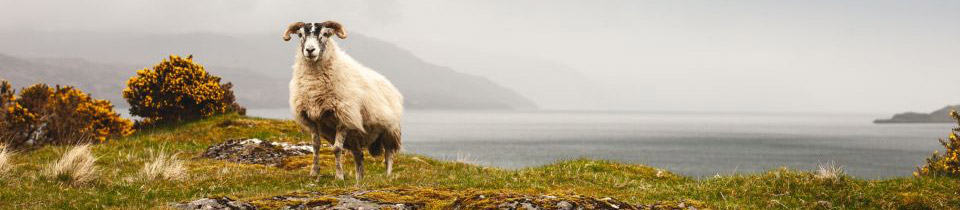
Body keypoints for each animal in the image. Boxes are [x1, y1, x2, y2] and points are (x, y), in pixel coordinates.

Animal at [284, 21, 406, 182]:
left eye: (325, 34)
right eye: (300, 34)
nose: (310, 50)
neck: (314, 85)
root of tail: (390, 84)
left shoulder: (344, 117)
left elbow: (337, 148)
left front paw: (339, 176)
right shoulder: (311, 119)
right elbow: (315, 146)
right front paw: (314, 173)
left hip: (390, 130)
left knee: (389, 154)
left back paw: (387, 176)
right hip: (355, 136)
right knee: (359, 156)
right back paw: (359, 180)